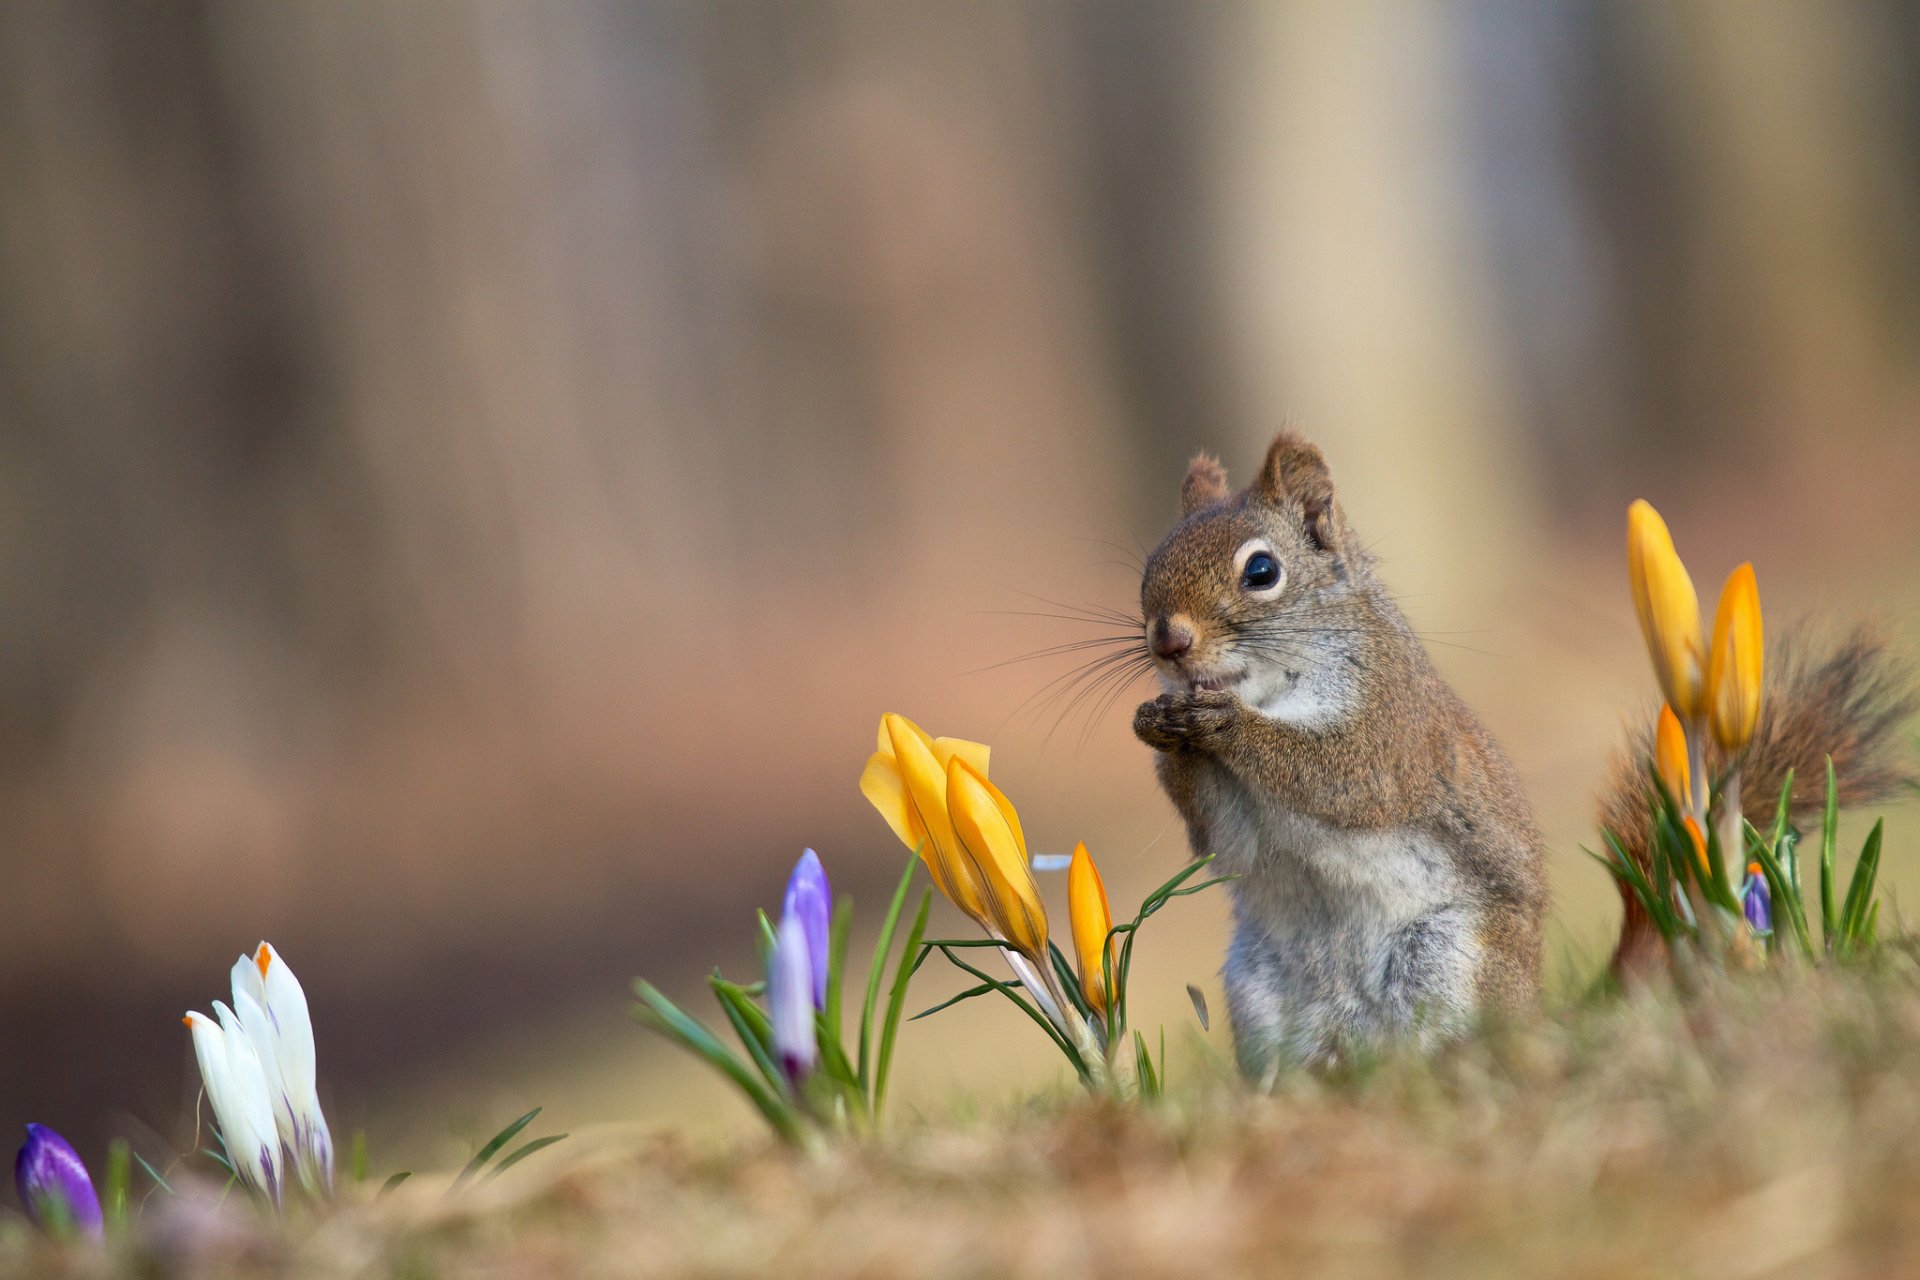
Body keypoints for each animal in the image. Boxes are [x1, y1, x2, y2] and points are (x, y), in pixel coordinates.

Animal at [1131, 430, 1915, 1078]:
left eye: (1261, 571)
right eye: (1148, 570)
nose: (1169, 642)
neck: (1272, 686)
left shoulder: (1394, 724)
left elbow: (1344, 778)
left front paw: (1225, 724)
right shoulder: (1236, 823)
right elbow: (1222, 835)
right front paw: (1161, 728)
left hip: (1449, 962)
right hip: (1262, 996)